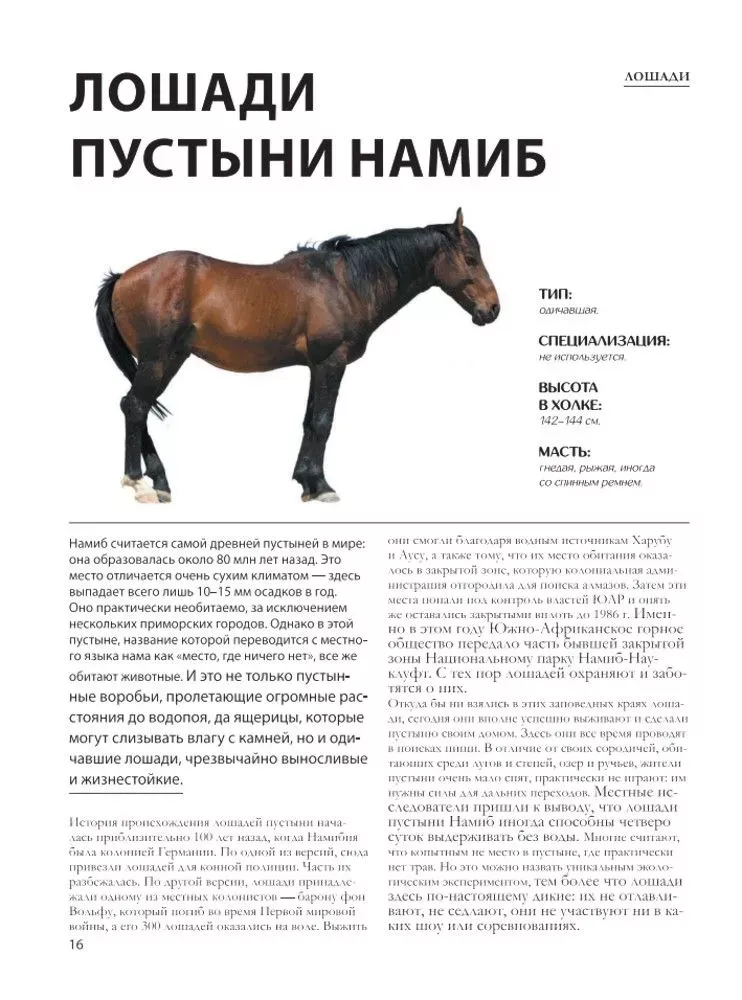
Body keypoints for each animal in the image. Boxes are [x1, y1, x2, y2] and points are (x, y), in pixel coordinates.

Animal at [95, 208, 500, 504]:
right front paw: (322, 487)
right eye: (469, 258)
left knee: (138, 407)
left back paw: (160, 481)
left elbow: (309, 421)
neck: (345, 282)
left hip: (170, 360)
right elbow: (322, 422)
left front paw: (306, 481)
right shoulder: (331, 362)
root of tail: (122, 277)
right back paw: (138, 483)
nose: (492, 309)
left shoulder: (315, 367)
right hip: (157, 360)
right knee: (135, 406)